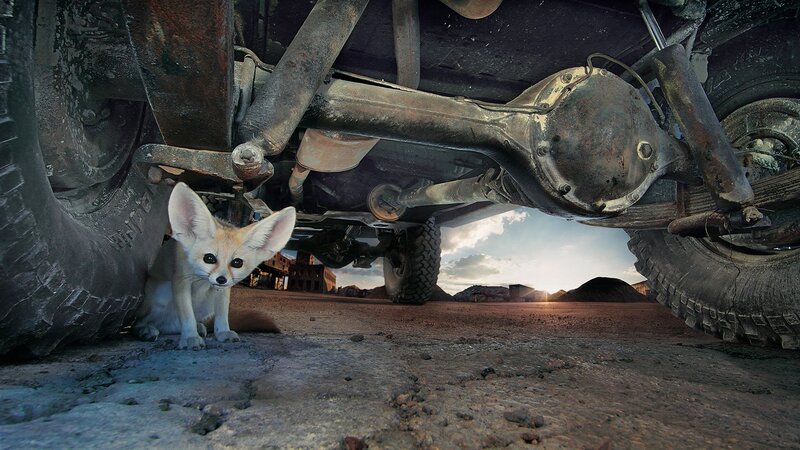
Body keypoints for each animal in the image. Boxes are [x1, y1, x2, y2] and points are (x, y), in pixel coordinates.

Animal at [134, 182, 296, 350]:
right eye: (209, 258)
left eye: (237, 262)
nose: (221, 279)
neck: (201, 281)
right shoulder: (181, 281)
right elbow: (187, 315)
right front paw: (190, 337)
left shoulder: (223, 291)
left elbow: (222, 315)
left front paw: (222, 332)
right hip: (162, 292)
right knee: (142, 322)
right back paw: (146, 330)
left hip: (206, 303)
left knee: (171, 327)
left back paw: (196, 327)